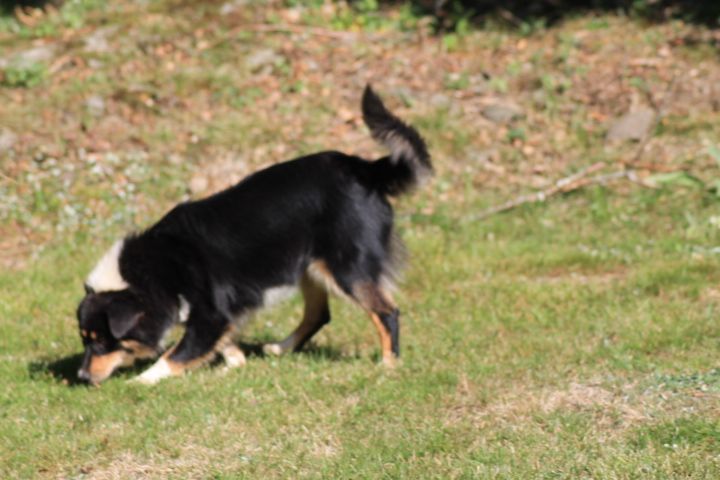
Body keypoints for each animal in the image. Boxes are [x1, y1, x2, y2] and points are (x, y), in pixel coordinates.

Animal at [75, 86, 432, 385]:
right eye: (85, 339)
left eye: (102, 340)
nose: (81, 377)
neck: (154, 269)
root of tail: (367, 169)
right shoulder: (221, 314)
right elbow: (222, 342)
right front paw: (235, 362)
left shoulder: (210, 313)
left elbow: (176, 353)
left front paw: (141, 381)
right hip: (309, 267)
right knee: (319, 314)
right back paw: (280, 348)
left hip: (348, 268)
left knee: (387, 312)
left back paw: (388, 364)